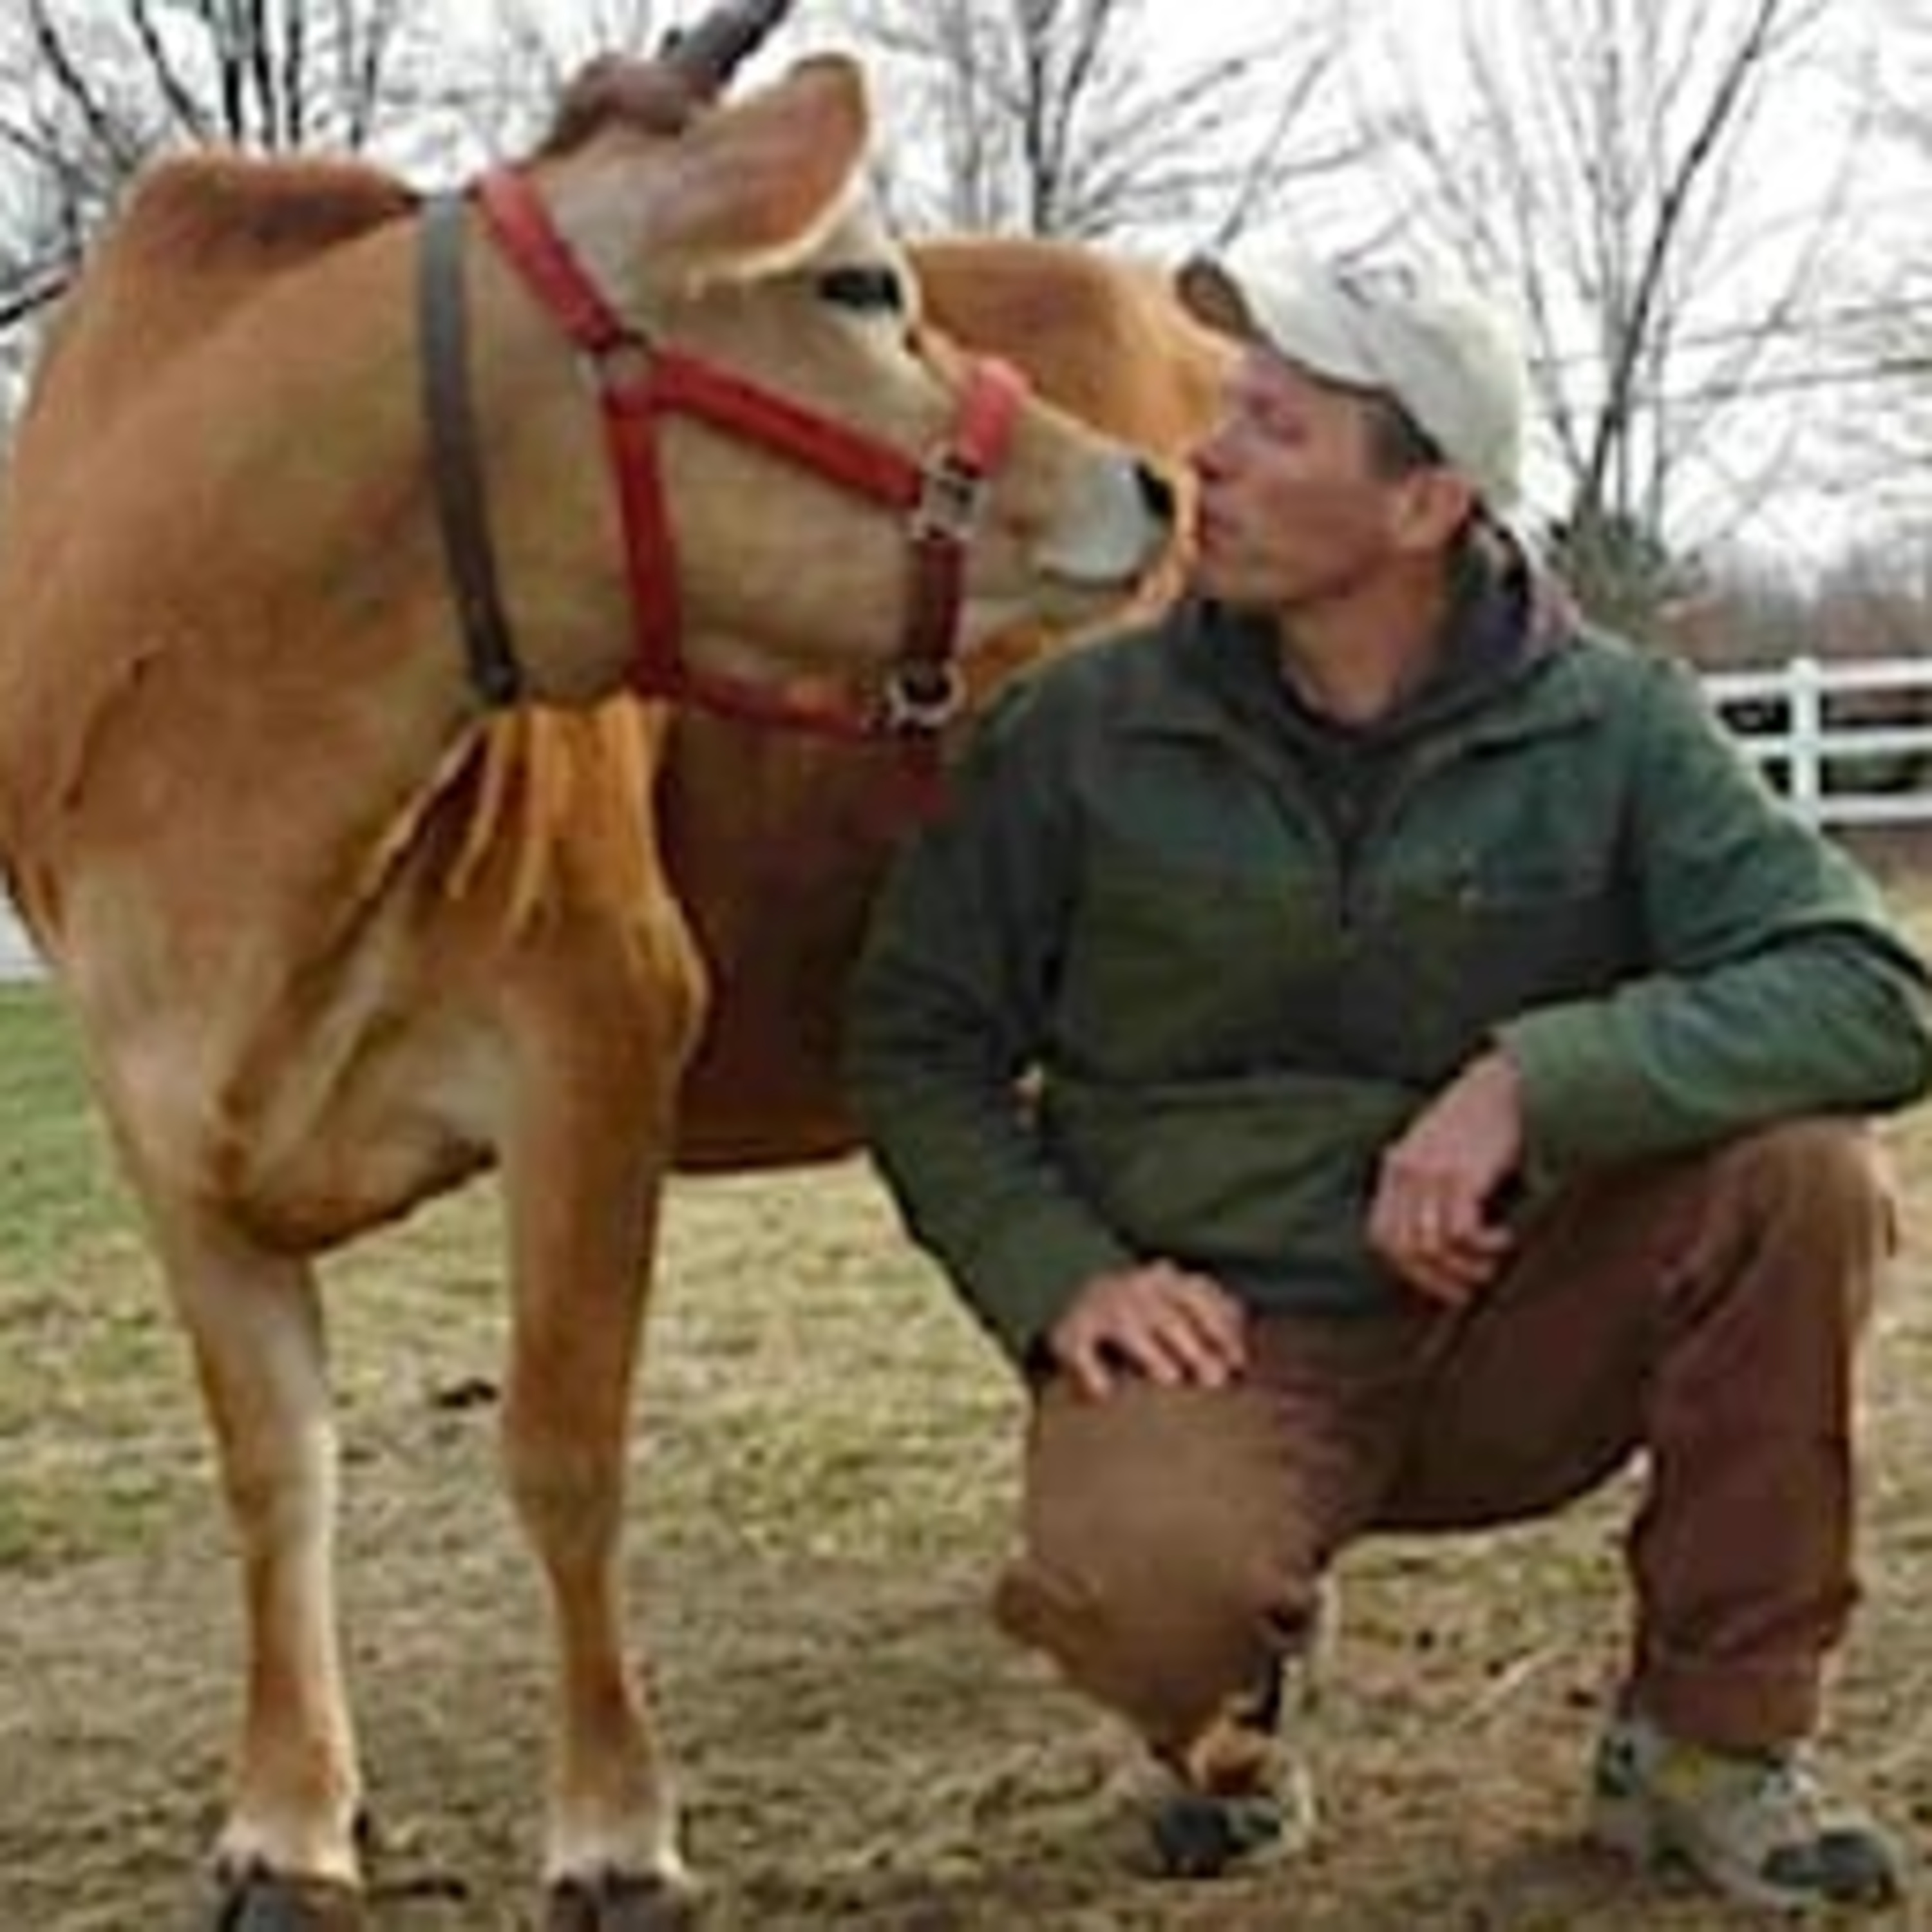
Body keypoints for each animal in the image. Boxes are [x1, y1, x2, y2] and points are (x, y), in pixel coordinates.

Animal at [0, 24, 1227, 1932]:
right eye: (857, 285)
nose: (1147, 485)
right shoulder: (156, 1119)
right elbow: (273, 1465)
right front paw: (286, 1823)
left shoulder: (596, 1035)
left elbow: (562, 1452)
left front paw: (611, 1835)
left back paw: (1204, 1754)